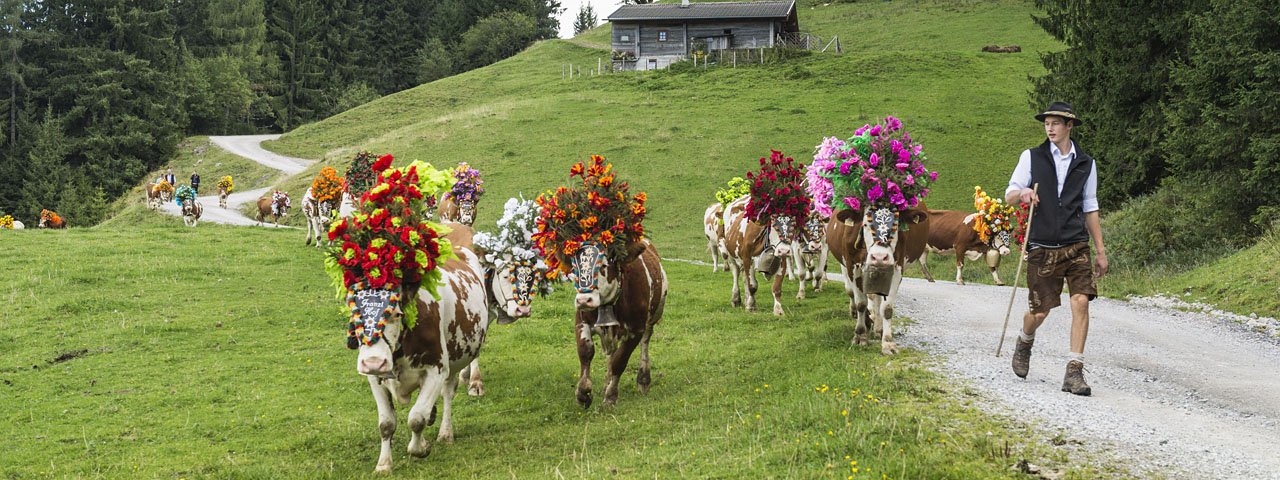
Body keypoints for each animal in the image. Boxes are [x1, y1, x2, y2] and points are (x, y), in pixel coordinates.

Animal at [355, 225, 488, 473]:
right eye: (355, 316)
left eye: (397, 313)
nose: (374, 362)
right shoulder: (374, 379)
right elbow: (386, 424)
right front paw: (384, 464)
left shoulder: (436, 370)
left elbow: (416, 418)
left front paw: (420, 448)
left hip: (454, 361)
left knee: (447, 393)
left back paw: (445, 432)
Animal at [570, 239, 670, 407]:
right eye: (575, 267)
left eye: (603, 265)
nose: (584, 300)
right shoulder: (581, 321)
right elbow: (585, 351)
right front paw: (583, 393)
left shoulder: (636, 330)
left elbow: (620, 360)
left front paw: (611, 396)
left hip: (653, 317)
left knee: (645, 342)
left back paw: (643, 379)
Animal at [824, 204, 926, 355]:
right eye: (865, 224)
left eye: (896, 225)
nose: (879, 257)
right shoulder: (852, 266)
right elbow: (861, 303)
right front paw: (860, 336)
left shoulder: (897, 268)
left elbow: (887, 308)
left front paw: (888, 343)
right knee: (854, 293)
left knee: (876, 298)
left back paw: (878, 328)